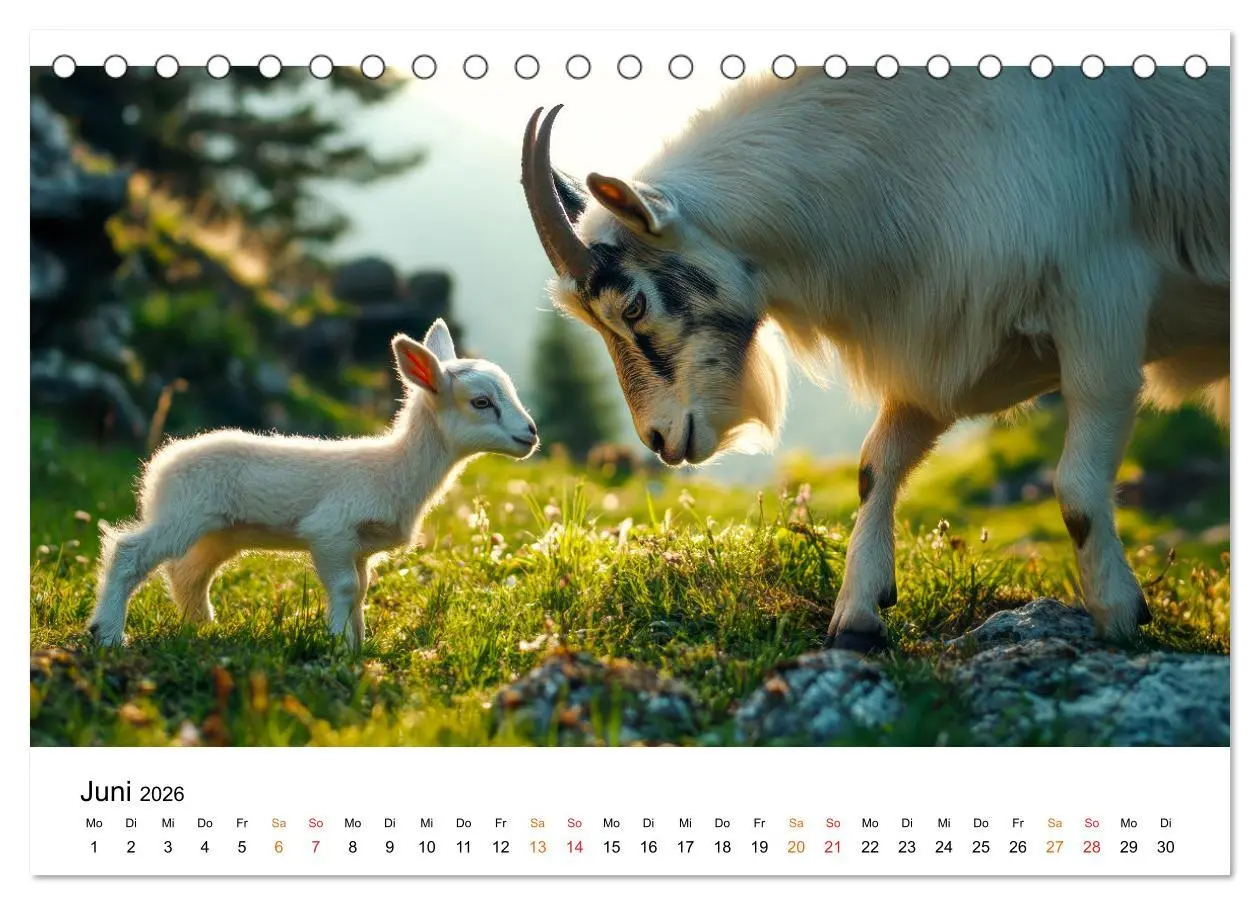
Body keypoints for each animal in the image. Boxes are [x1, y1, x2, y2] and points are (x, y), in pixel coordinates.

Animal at [88, 319, 538, 650]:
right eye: (481, 402)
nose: (530, 434)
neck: (395, 469)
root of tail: (159, 465)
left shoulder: (360, 547)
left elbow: (361, 590)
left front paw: (357, 646)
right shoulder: (331, 531)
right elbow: (345, 587)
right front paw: (337, 645)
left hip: (218, 532)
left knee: (188, 573)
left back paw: (201, 628)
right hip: (184, 513)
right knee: (129, 553)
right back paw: (107, 634)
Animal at [520, 65, 1228, 651]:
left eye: (633, 305)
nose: (659, 439)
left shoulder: (1100, 302)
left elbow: (1078, 488)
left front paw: (1120, 614)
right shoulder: (939, 339)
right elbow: (875, 464)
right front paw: (859, 616)